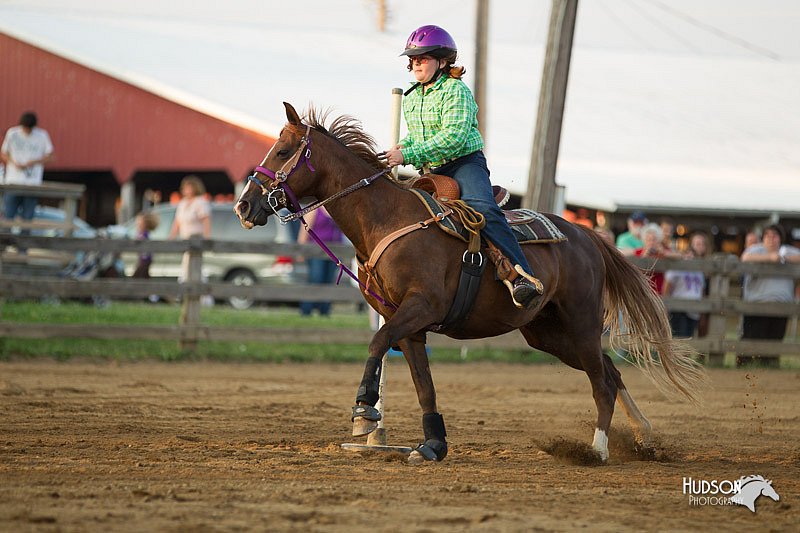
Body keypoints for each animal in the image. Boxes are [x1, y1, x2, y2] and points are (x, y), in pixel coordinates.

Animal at [234, 102, 704, 464]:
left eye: (283, 150)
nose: (243, 205)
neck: (388, 218)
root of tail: (587, 235)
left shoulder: (419, 308)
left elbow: (376, 343)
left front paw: (365, 413)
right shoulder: (409, 326)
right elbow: (424, 385)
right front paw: (432, 445)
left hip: (582, 324)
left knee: (602, 382)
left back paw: (598, 450)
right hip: (548, 334)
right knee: (610, 369)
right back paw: (643, 437)